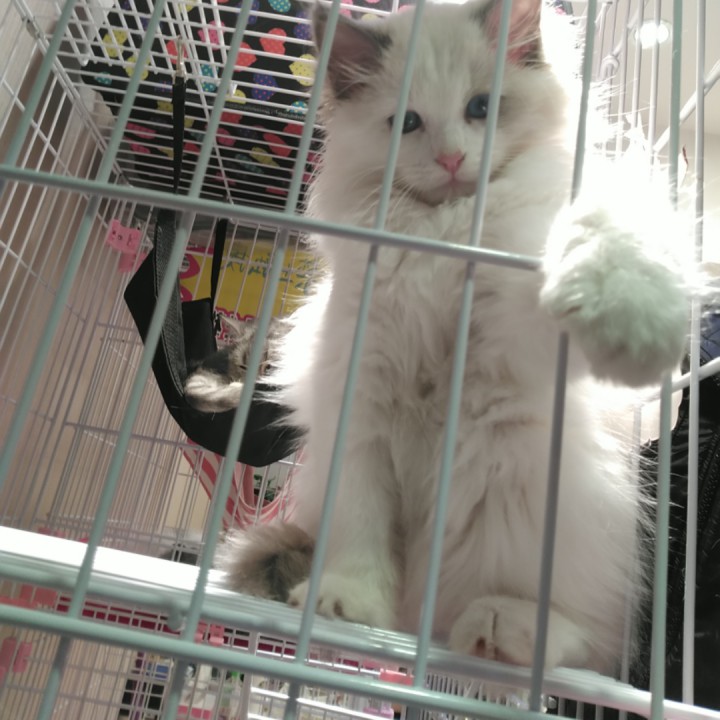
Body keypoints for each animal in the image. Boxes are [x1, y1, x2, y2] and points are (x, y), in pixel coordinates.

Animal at [214, 0, 691, 675]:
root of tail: (426, 629)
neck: (442, 235)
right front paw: (347, 602)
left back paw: (500, 627)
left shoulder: (514, 329)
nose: (451, 160)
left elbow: (591, 251)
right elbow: (363, 533)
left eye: (481, 108)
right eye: (408, 123)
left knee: (582, 642)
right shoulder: (360, 417)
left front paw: (627, 325)